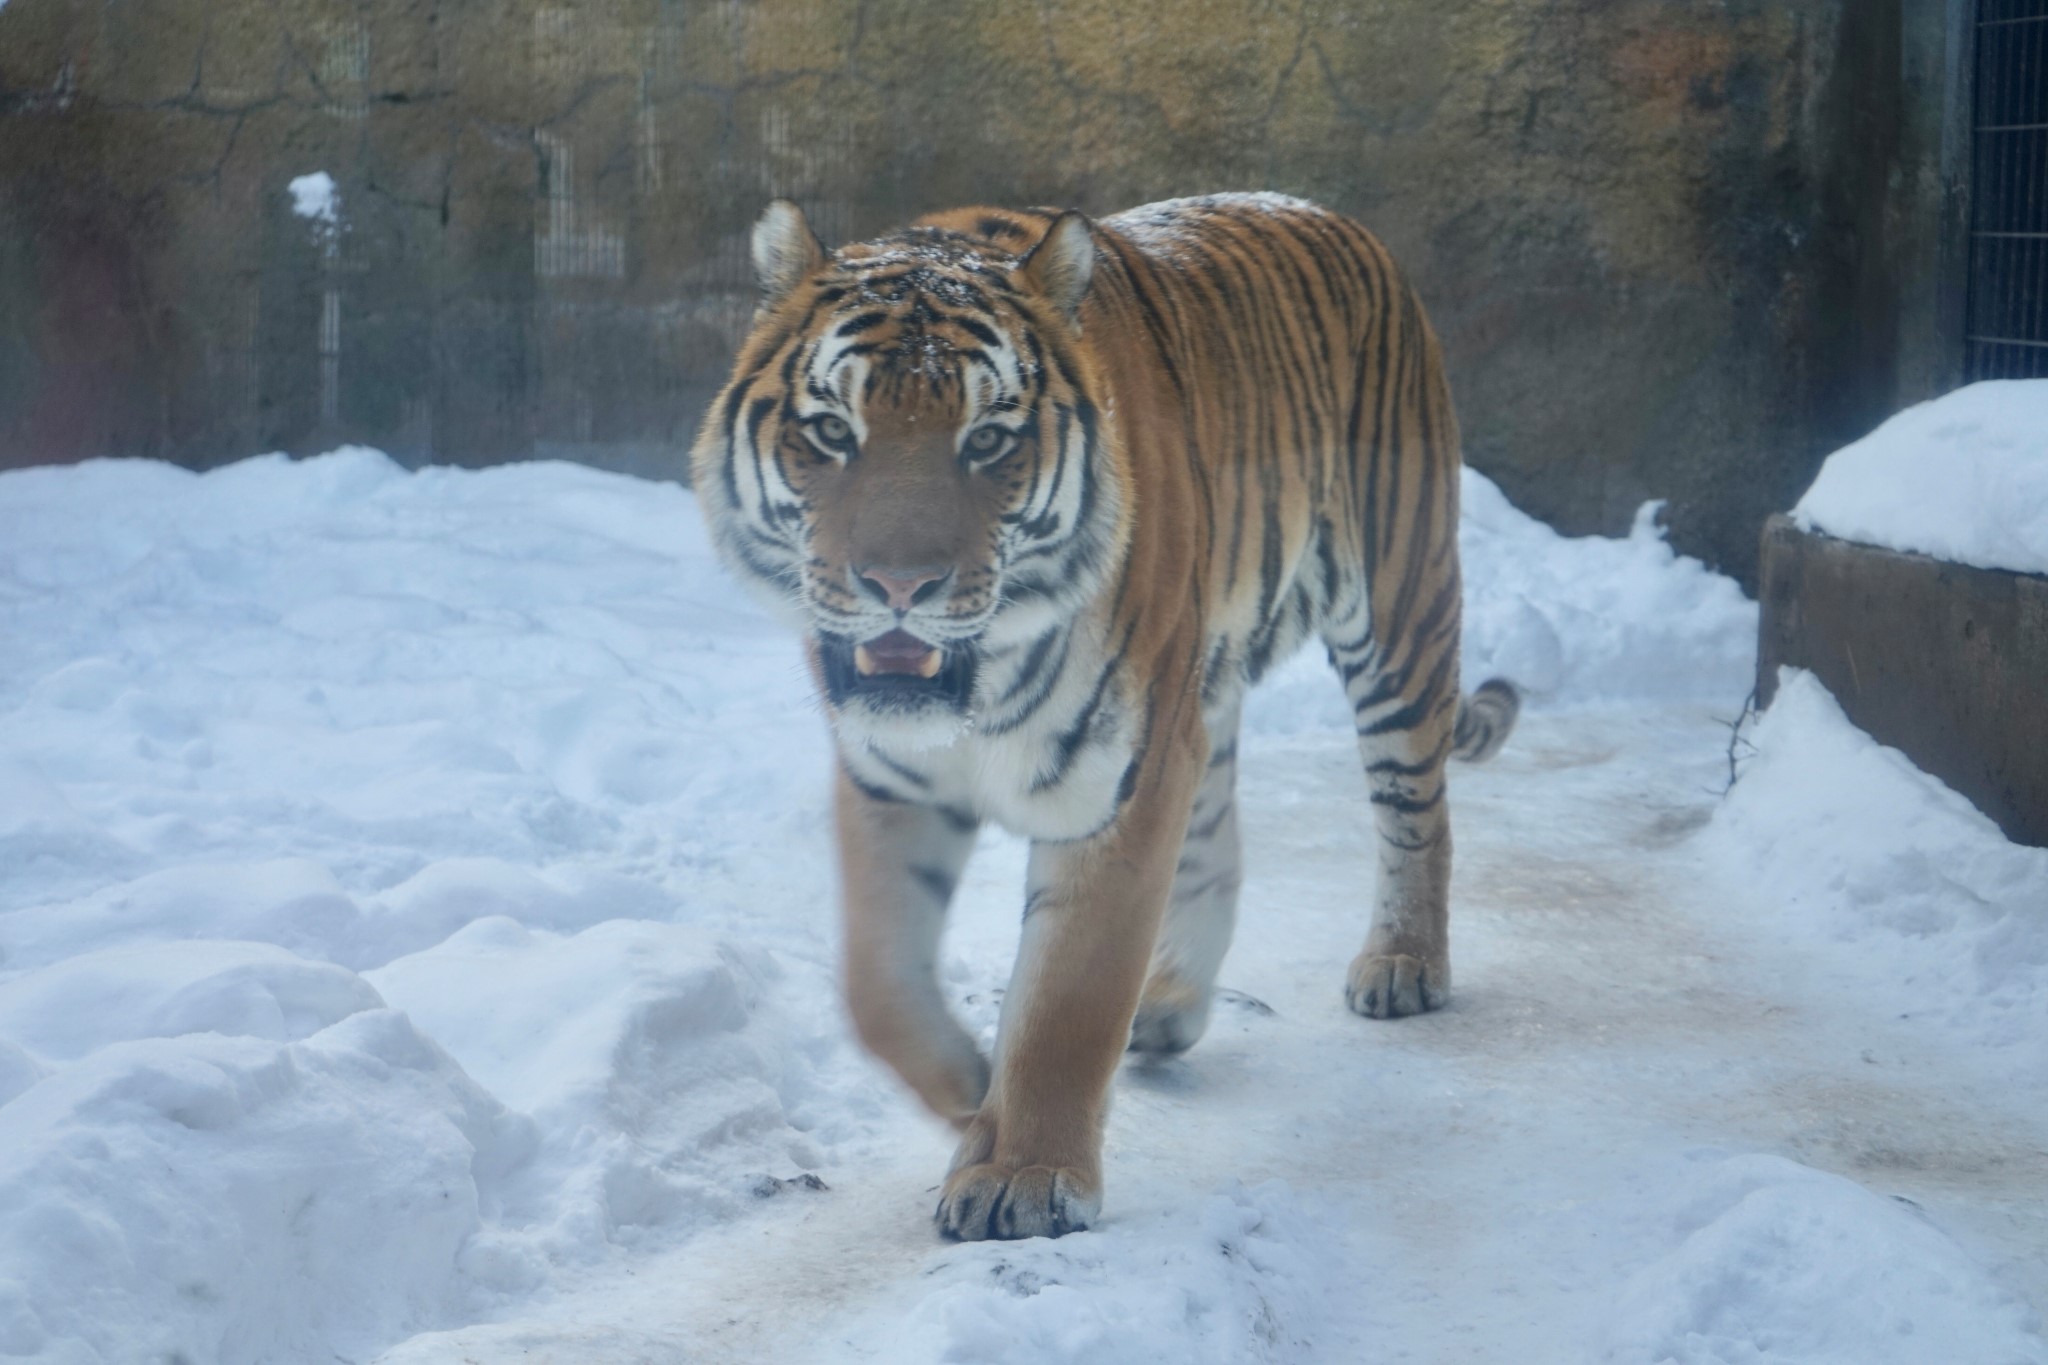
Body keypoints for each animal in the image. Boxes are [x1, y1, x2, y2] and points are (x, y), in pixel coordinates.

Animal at [696, 192, 1515, 1252]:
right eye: (834, 430)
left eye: (988, 440)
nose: (899, 587)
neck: (980, 685)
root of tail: (1335, 216)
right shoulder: (888, 774)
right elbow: (875, 982)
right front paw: (968, 1083)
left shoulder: (1121, 780)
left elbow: (1070, 994)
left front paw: (1023, 1173)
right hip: (1204, 689)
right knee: (1218, 836)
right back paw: (1168, 1004)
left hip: (1395, 608)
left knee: (1417, 811)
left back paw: (1404, 965)